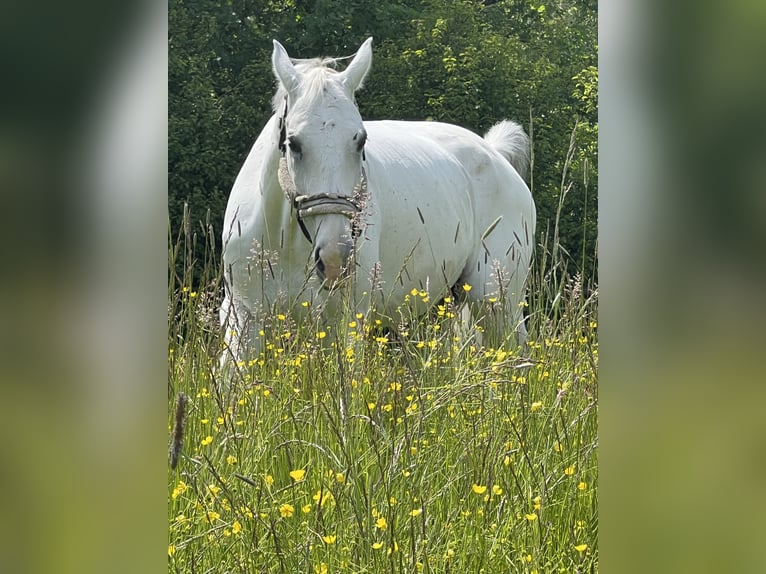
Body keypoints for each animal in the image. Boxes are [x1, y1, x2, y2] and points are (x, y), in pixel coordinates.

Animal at [219, 38, 536, 366]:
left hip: (498, 303)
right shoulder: (244, 319)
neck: (287, 239)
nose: (335, 260)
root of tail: (494, 152)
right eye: (293, 143)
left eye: (360, 141)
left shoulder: (345, 323)